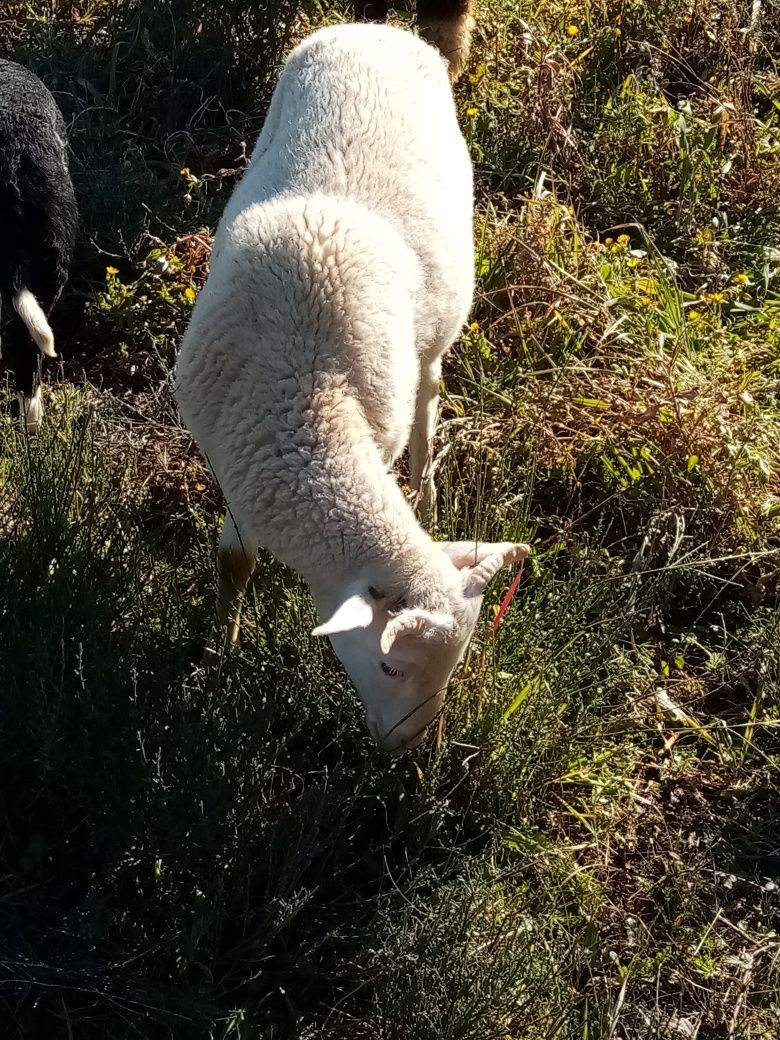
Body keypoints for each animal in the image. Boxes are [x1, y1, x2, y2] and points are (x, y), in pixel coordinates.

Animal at [176, 24, 532, 752]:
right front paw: (221, 653)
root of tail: (386, 32)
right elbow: (232, 563)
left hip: (440, 317)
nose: (407, 751)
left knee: (429, 389)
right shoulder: (236, 460)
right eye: (391, 665)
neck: (308, 401)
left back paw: (426, 488)